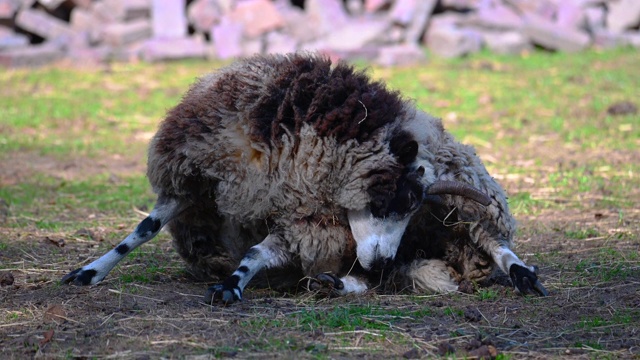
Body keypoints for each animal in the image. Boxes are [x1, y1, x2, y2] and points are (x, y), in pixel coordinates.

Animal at [62, 52, 548, 302]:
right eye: (385, 200)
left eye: (409, 208)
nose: (382, 259)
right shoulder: (194, 179)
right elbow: (142, 230)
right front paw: (88, 272)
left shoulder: (303, 221)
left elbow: (255, 252)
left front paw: (231, 285)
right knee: (382, 278)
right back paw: (335, 283)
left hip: (468, 205)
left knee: (490, 240)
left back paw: (523, 274)